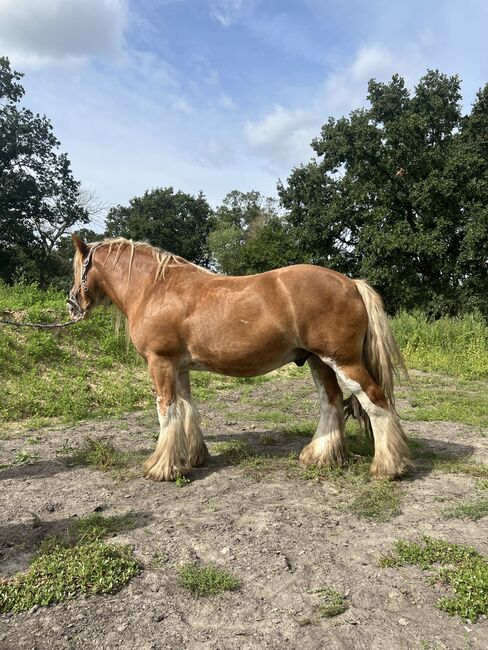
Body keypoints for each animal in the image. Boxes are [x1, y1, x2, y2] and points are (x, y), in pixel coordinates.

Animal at [67, 235, 412, 478]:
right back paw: (319, 457)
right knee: (331, 402)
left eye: (78, 267)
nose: (72, 305)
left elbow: (167, 412)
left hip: (344, 361)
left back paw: (387, 467)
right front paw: (193, 457)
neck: (155, 288)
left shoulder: (161, 362)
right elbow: (187, 410)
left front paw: (161, 467)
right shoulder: (180, 368)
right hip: (319, 361)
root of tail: (351, 282)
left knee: (375, 401)